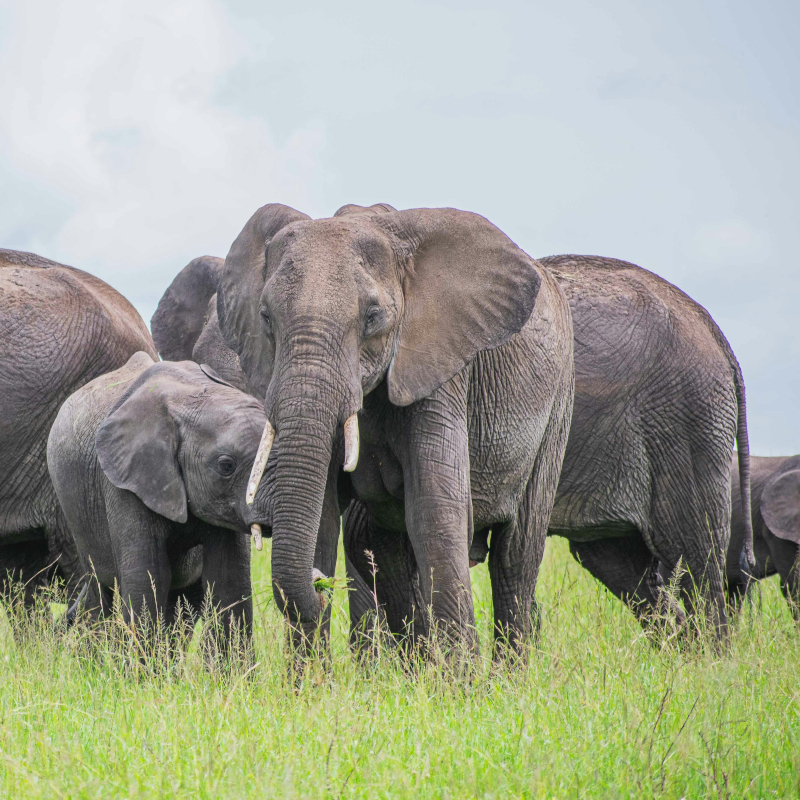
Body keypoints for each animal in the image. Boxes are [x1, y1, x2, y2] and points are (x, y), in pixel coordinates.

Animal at [46, 352, 270, 646]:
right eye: (226, 465)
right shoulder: (125, 481)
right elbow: (148, 579)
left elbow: (229, 579)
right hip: (77, 514)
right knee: (99, 590)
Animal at [212, 201, 575, 661]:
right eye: (265, 317)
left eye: (372, 317)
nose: (318, 581)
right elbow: (323, 518)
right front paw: (310, 680)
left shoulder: (440, 371)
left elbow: (436, 514)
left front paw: (461, 680)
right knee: (384, 551)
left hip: (557, 407)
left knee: (516, 556)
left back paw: (505, 675)